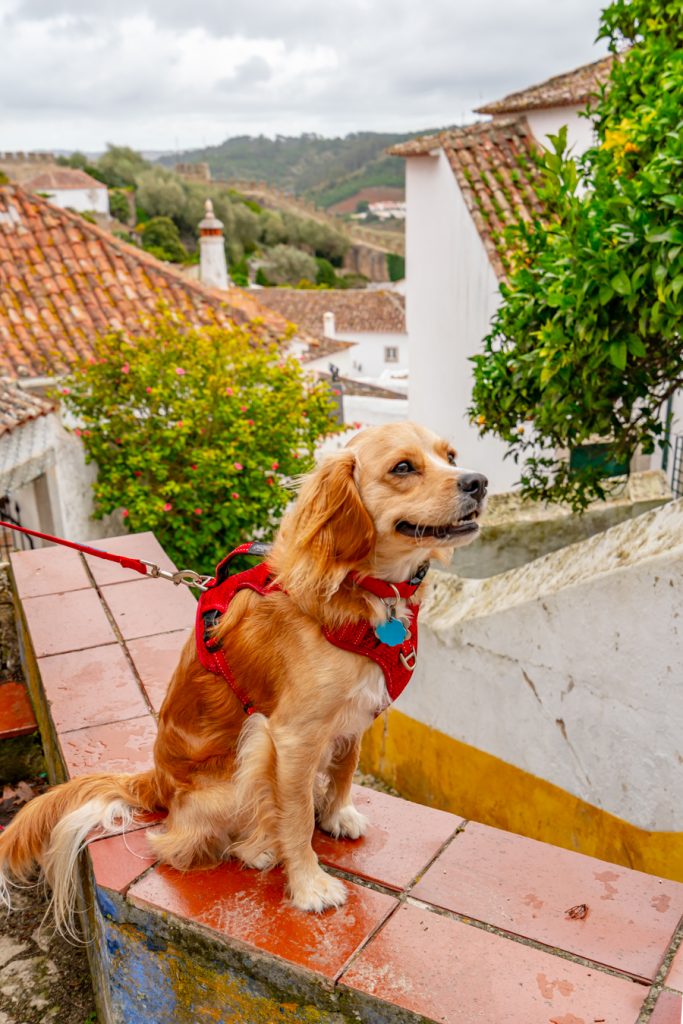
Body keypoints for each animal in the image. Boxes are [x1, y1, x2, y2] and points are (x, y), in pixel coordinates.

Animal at [0, 419, 485, 933]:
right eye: (403, 468)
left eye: (451, 456)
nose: (478, 482)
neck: (363, 589)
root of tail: (156, 781)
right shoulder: (292, 735)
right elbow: (295, 817)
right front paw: (308, 884)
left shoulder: (353, 712)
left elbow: (345, 767)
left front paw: (337, 813)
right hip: (242, 764)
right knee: (180, 843)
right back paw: (258, 847)